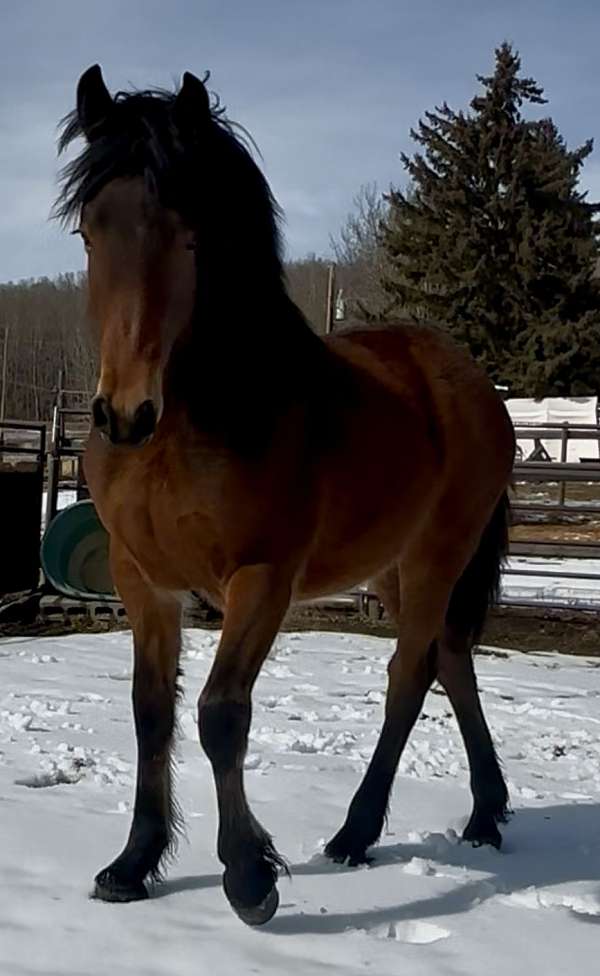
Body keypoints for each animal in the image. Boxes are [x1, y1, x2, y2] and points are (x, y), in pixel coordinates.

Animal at [55, 65, 515, 926]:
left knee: (409, 676)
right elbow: (151, 712)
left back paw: (356, 833)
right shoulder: (143, 581)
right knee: (452, 660)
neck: (193, 426)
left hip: (437, 557)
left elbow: (220, 713)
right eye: (90, 231)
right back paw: (484, 815)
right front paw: (132, 865)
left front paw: (248, 877)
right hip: (394, 568)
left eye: (189, 232)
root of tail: (471, 381)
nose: (124, 413)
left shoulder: (261, 579)